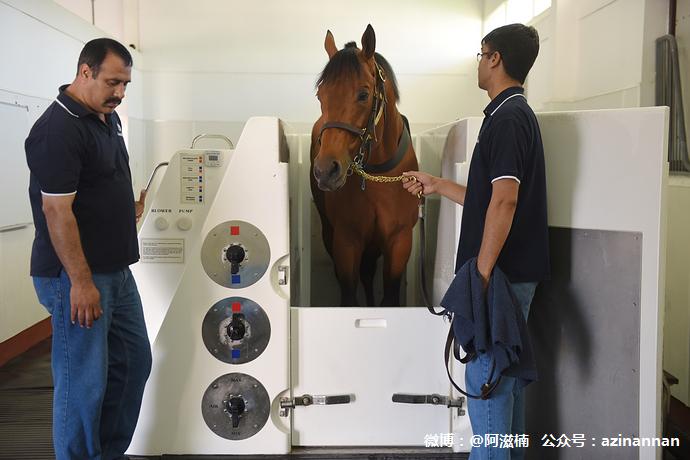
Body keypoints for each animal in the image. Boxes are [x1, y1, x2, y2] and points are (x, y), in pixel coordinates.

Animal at [310, 24, 416, 306]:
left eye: (363, 94)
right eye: (321, 95)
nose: (325, 170)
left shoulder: (400, 241)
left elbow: (389, 298)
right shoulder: (346, 241)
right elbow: (349, 297)